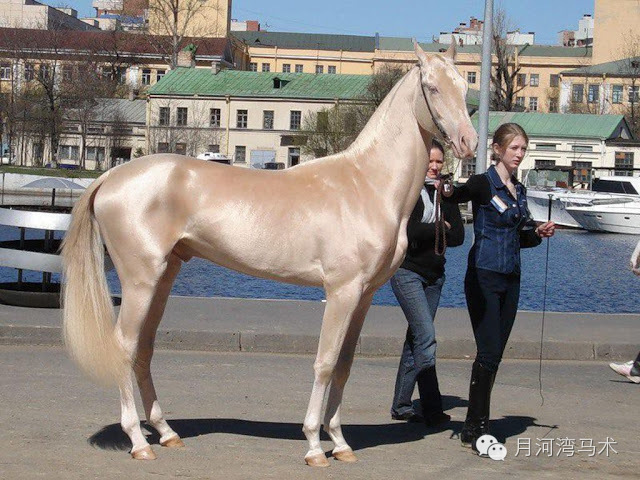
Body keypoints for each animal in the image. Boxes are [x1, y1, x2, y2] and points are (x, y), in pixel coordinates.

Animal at [62, 43, 478, 466]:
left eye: (463, 86)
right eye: (432, 86)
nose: (468, 142)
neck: (366, 184)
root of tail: (110, 178)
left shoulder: (363, 296)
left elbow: (344, 366)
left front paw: (340, 442)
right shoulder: (341, 291)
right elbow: (325, 363)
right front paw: (314, 445)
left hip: (163, 278)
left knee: (144, 349)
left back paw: (166, 433)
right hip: (140, 281)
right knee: (124, 347)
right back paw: (139, 441)